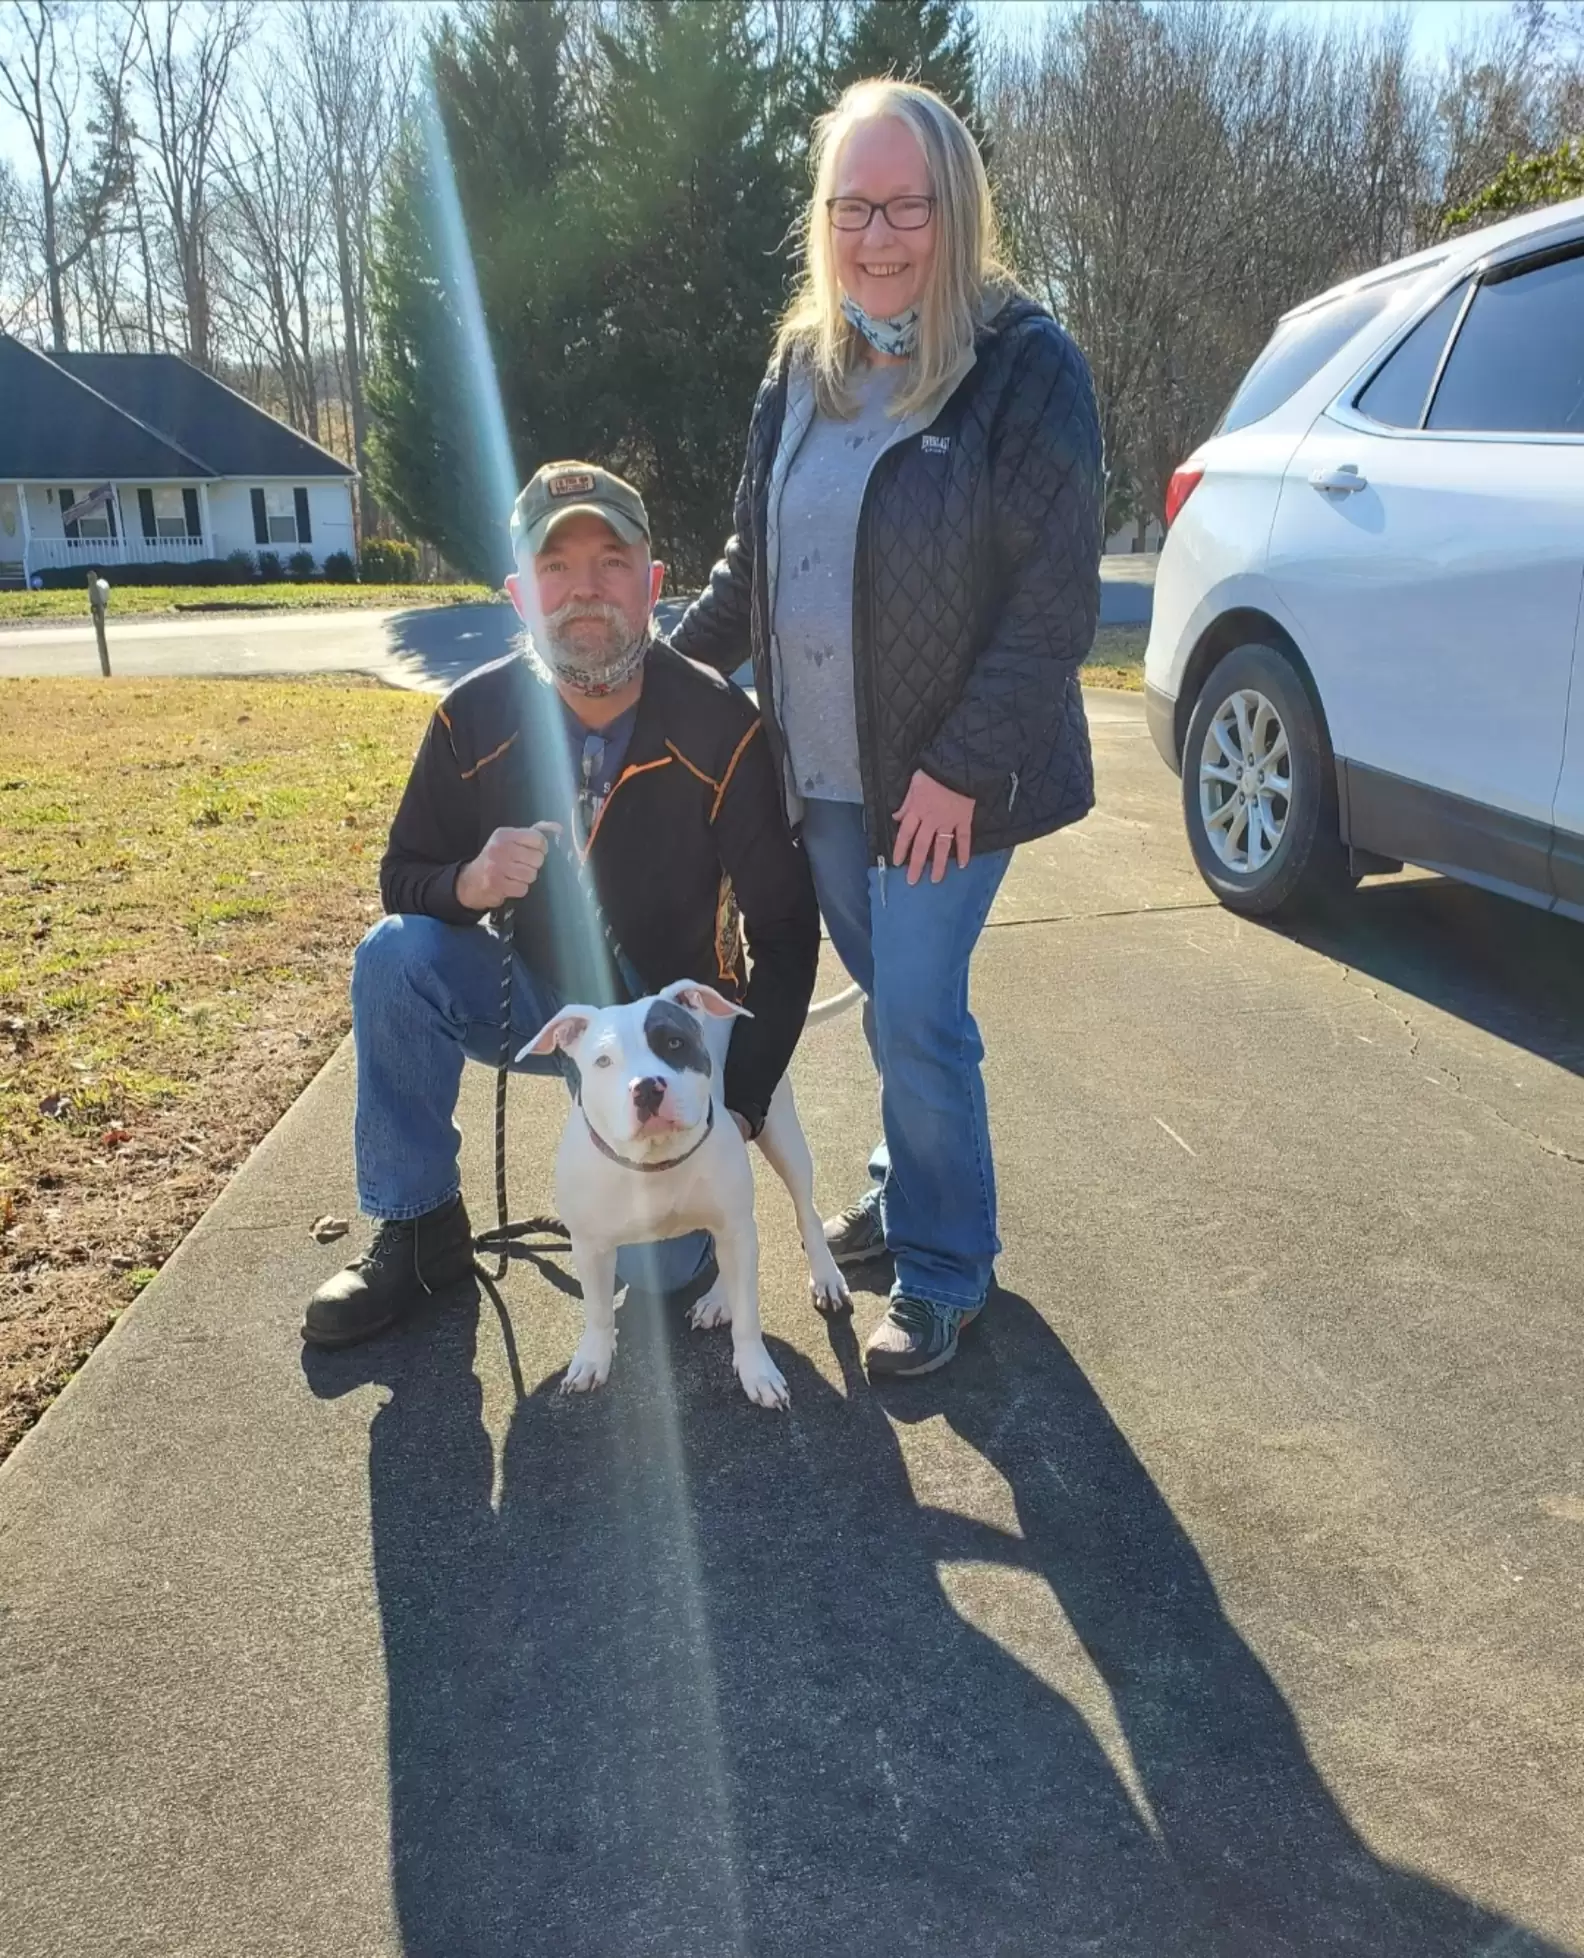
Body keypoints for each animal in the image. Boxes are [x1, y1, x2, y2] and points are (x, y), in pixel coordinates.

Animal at [520, 979, 853, 1409]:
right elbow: (597, 1310)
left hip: (781, 1135)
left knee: (804, 1214)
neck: (656, 1161)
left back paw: (823, 1277)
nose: (647, 1088)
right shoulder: (589, 1245)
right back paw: (719, 1299)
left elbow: (749, 1317)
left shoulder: (736, 1223)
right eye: (603, 1061)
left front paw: (757, 1371)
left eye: (674, 1043)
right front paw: (592, 1359)